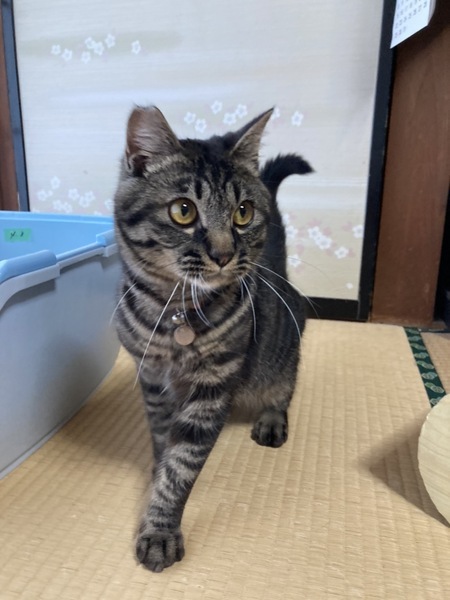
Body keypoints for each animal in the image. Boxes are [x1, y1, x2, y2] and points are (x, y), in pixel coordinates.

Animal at [113, 106, 313, 572]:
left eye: (243, 212)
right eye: (183, 210)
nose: (223, 255)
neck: (175, 313)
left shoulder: (212, 387)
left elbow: (183, 465)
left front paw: (160, 530)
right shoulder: (152, 380)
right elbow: (163, 442)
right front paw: (157, 472)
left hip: (280, 357)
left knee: (284, 387)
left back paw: (272, 418)